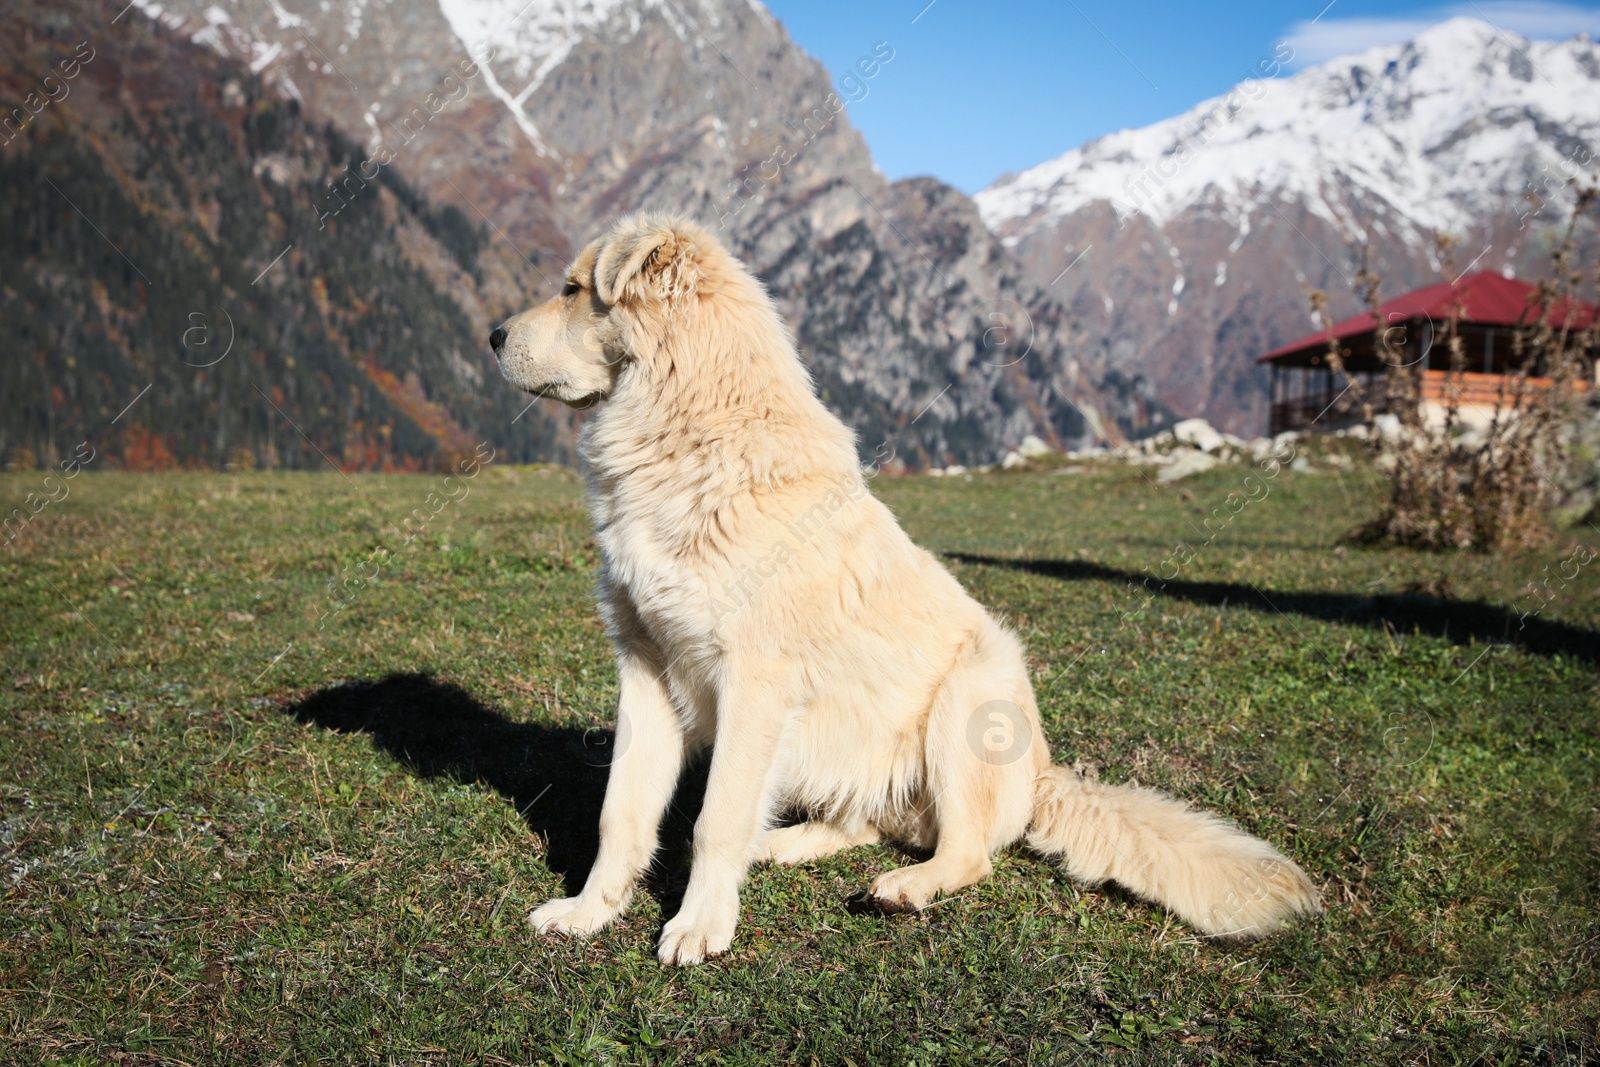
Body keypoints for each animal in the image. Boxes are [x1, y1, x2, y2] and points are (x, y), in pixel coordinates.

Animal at [492, 214, 1318, 966]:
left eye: (573, 289)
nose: (494, 336)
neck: (691, 434)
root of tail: (1046, 777)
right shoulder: (645, 667)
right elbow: (622, 811)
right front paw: (589, 911)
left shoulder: (754, 681)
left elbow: (715, 818)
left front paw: (699, 926)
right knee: (866, 820)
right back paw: (785, 845)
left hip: (966, 698)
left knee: (967, 850)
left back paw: (904, 887)